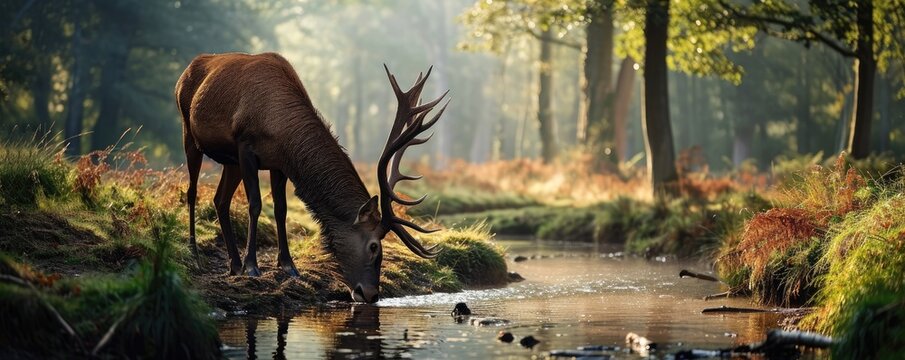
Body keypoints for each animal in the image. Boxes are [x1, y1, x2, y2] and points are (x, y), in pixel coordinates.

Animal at [175, 52, 446, 302]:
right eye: (374, 246)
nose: (371, 294)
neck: (279, 127)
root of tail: (186, 70)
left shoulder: (279, 164)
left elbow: (281, 209)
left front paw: (288, 266)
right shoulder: (246, 146)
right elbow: (255, 205)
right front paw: (252, 266)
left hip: (230, 162)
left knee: (220, 200)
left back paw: (233, 264)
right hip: (190, 133)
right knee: (192, 191)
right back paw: (195, 252)